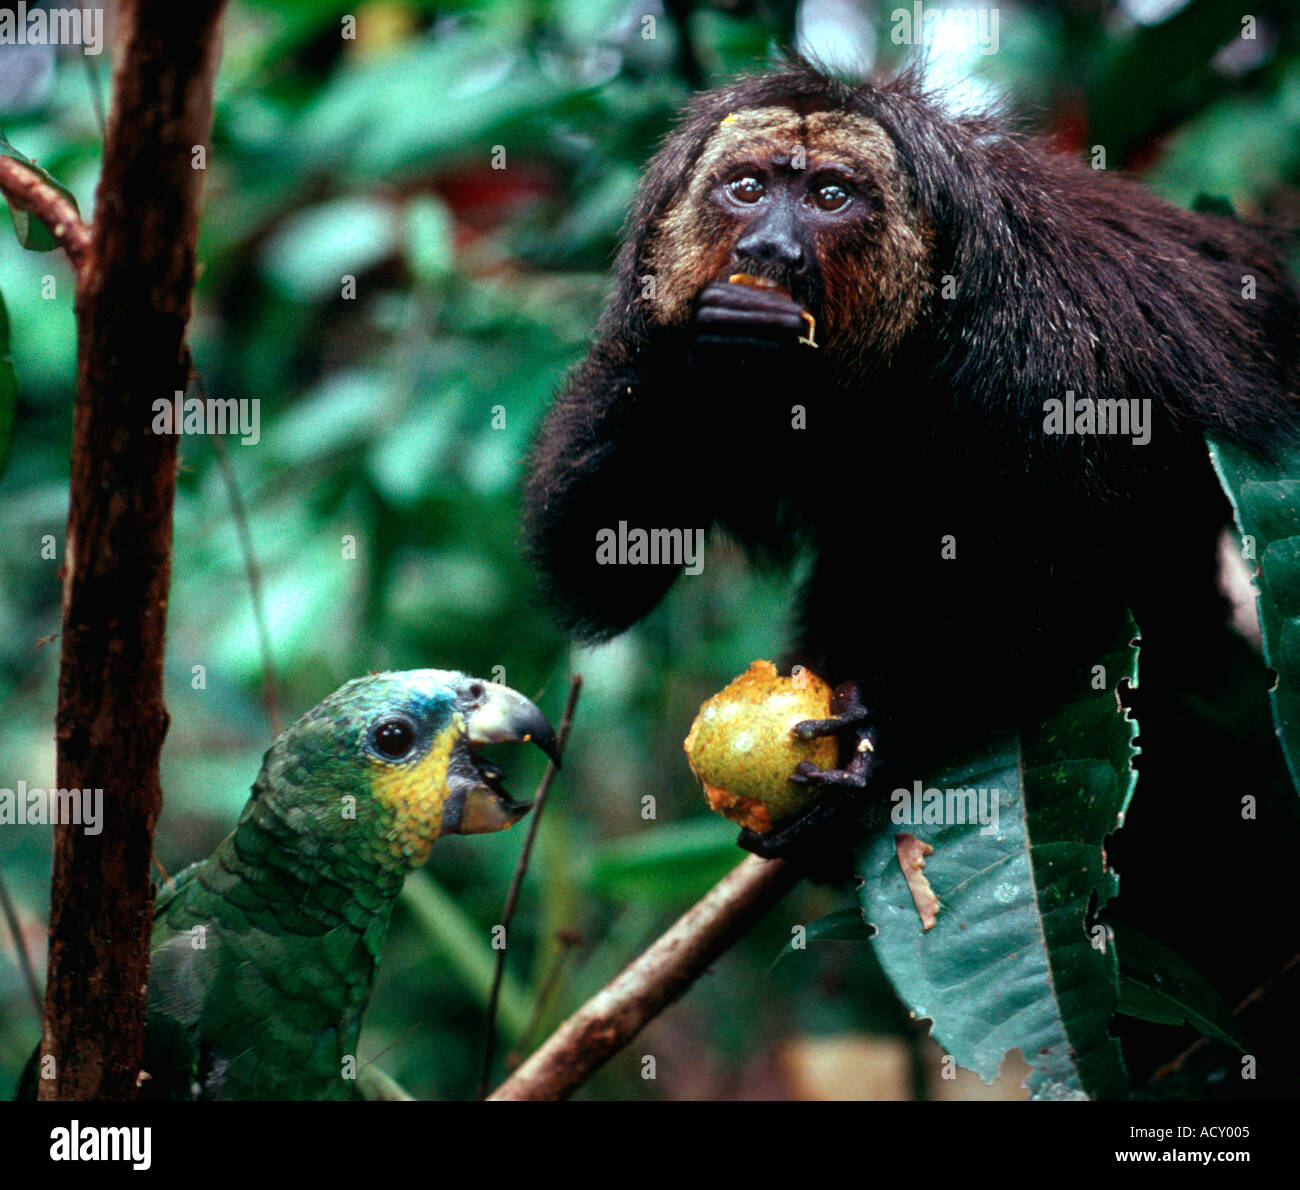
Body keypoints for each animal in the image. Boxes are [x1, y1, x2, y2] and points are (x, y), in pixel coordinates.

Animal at [521, 63, 1300, 1044]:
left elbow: (1061, 563)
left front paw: (878, 744)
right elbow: (603, 562)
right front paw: (711, 340)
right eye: (748, 189)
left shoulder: (1033, 350)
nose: (770, 248)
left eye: (830, 196)